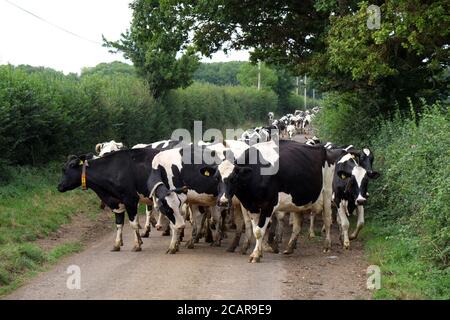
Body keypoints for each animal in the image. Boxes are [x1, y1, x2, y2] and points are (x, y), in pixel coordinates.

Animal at [200, 140, 344, 262]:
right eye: (216, 178)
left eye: (233, 179)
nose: (223, 201)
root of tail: (324, 149)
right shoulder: (252, 206)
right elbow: (256, 230)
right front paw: (259, 252)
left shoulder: (268, 205)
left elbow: (259, 231)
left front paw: (255, 255)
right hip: (298, 200)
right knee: (298, 224)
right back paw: (290, 247)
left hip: (327, 193)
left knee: (327, 219)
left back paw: (327, 245)